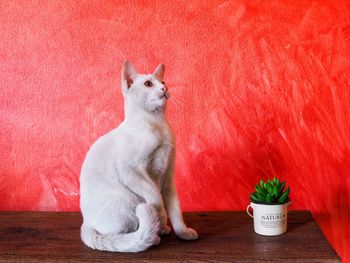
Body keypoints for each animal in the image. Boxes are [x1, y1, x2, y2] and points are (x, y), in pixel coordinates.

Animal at [80, 62, 198, 254]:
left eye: (163, 82)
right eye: (148, 84)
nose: (164, 88)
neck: (157, 123)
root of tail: (86, 222)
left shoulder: (167, 177)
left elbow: (175, 210)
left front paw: (183, 233)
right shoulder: (132, 171)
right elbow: (155, 196)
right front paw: (161, 218)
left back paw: (161, 230)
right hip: (126, 198)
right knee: (121, 233)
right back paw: (153, 236)